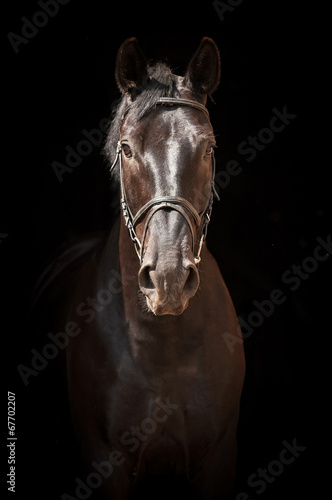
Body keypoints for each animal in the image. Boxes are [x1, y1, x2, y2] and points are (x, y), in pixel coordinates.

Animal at [54, 37, 245, 498]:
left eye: (209, 148)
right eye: (126, 148)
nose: (168, 279)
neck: (164, 350)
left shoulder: (218, 458)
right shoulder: (105, 462)